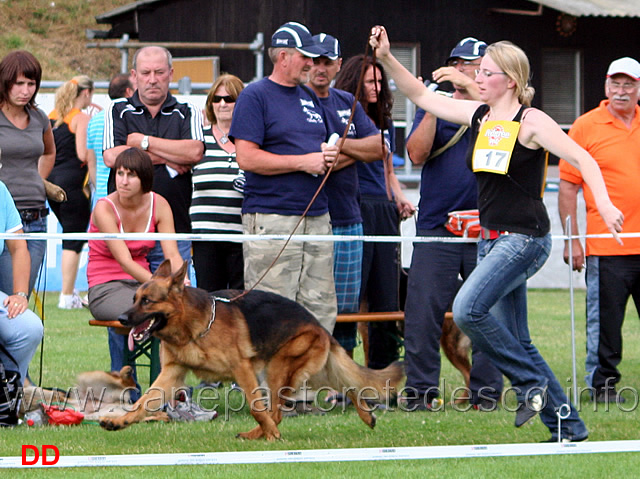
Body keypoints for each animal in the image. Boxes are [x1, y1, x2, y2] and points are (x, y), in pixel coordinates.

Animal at [100, 260, 404, 440]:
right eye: (134, 298)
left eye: (147, 301)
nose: (122, 319)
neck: (193, 327)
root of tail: (318, 325)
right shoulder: (171, 373)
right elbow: (142, 402)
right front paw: (121, 421)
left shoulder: (242, 369)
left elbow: (258, 408)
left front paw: (270, 432)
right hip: (308, 373)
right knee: (350, 386)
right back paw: (366, 415)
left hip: (280, 371)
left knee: (279, 411)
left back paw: (264, 433)